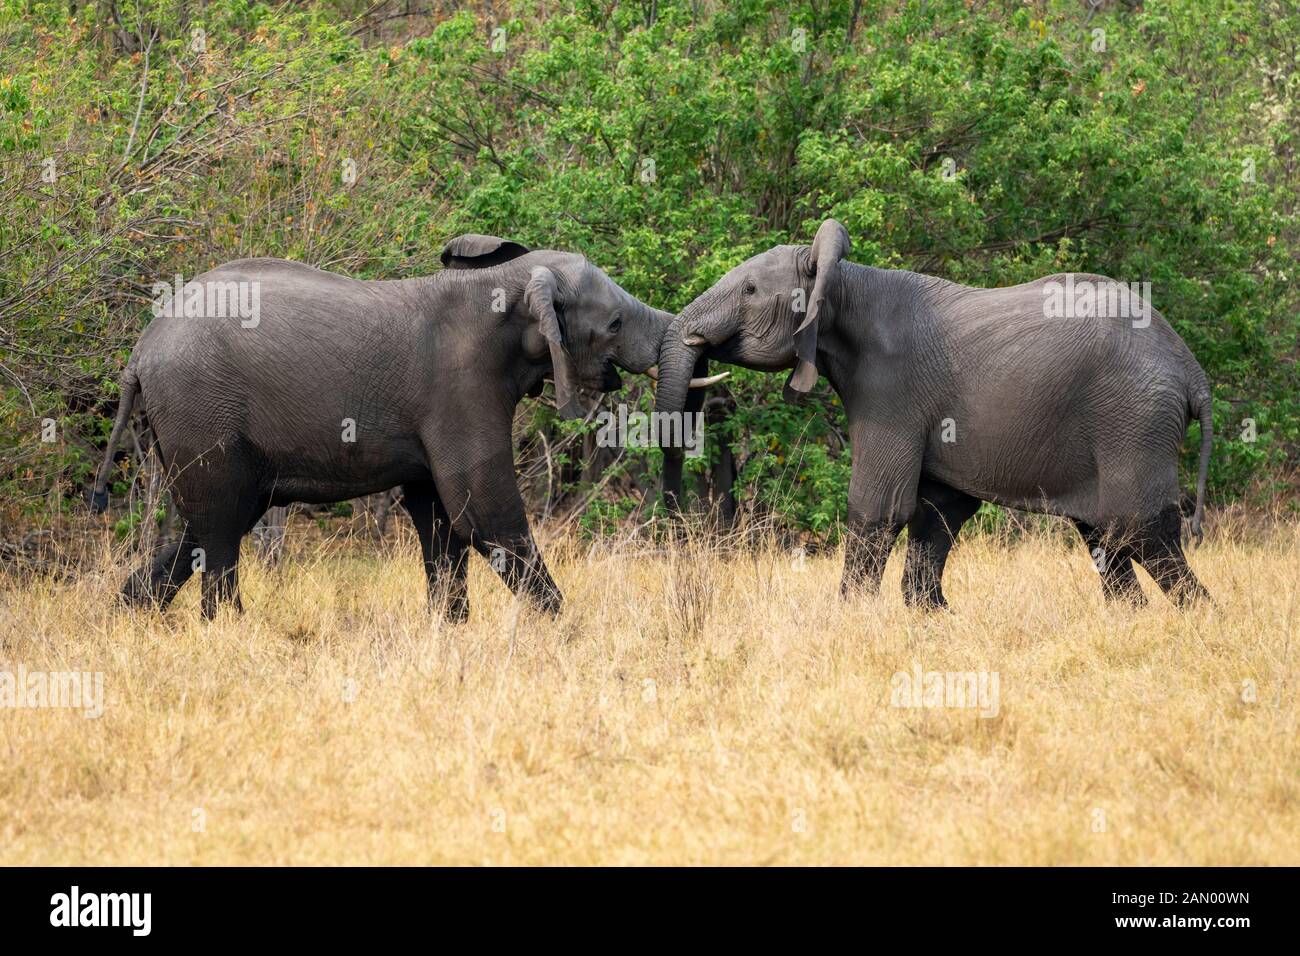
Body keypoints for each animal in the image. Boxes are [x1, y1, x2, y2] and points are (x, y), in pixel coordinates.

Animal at [91, 238, 717, 621]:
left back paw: (126, 618)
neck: (506, 283)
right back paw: (229, 631)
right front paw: (565, 630)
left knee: (207, 524)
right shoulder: (461, 385)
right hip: (200, 408)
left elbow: (439, 519)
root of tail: (139, 351)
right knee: (220, 526)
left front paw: (451, 632)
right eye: (613, 323)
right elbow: (482, 511)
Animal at [655, 217, 1211, 608]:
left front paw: (850, 618)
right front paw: (932, 614)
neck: (845, 283)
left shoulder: (891, 392)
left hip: (1134, 419)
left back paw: (1199, 618)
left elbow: (878, 508)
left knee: (1140, 530)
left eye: (749, 291)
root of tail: (1192, 372)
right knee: (1105, 538)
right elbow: (939, 512)